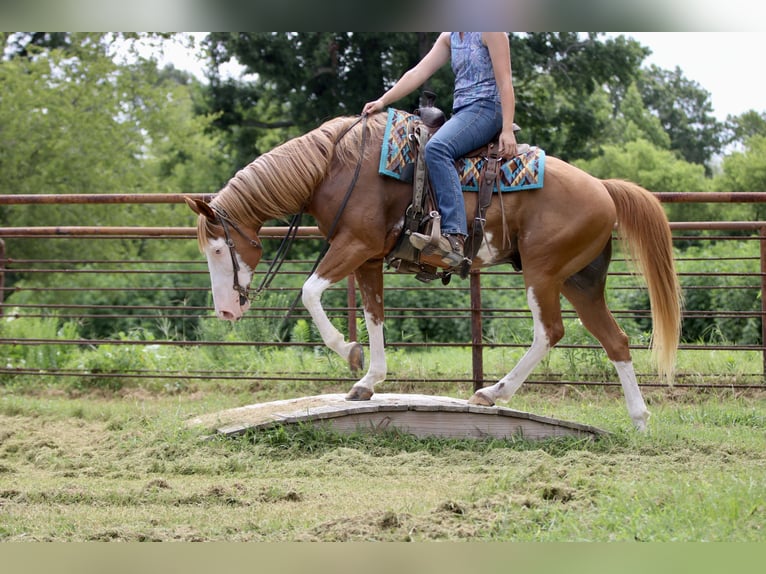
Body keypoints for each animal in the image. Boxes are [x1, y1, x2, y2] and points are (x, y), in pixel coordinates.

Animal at [185, 111, 682, 431]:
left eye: (217, 248)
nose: (226, 312)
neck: (334, 165)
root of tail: (603, 188)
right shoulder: (368, 258)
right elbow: (374, 315)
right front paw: (367, 381)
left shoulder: (354, 245)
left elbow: (309, 292)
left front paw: (349, 352)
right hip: (581, 281)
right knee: (615, 340)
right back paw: (639, 420)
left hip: (543, 274)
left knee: (550, 332)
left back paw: (492, 393)